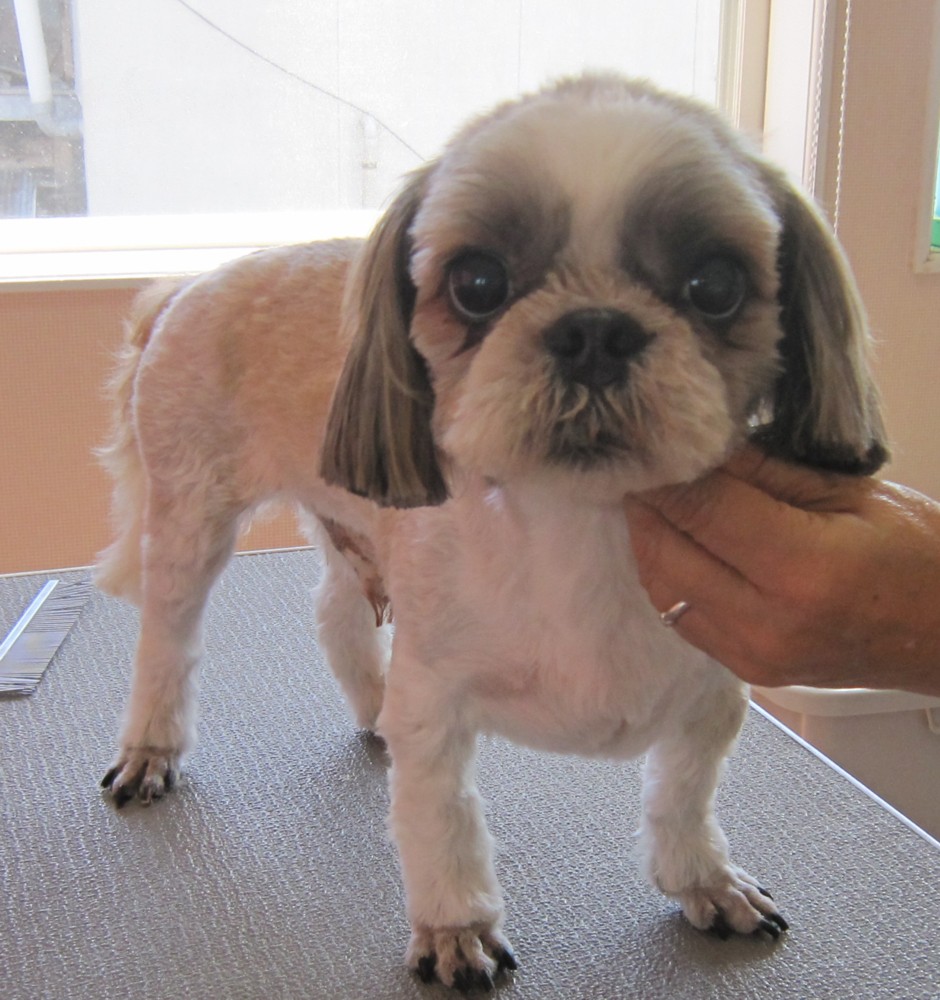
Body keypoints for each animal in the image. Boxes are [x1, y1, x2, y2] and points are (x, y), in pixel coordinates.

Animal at [98, 74, 887, 991]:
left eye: (716, 282)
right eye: (477, 281)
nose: (594, 330)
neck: (580, 530)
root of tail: (190, 283)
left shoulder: (713, 692)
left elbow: (683, 795)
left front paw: (703, 878)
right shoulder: (437, 700)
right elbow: (443, 821)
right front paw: (454, 929)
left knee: (334, 612)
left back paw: (370, 703)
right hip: (190, 516)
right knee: (167, 639)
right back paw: (152, 744)